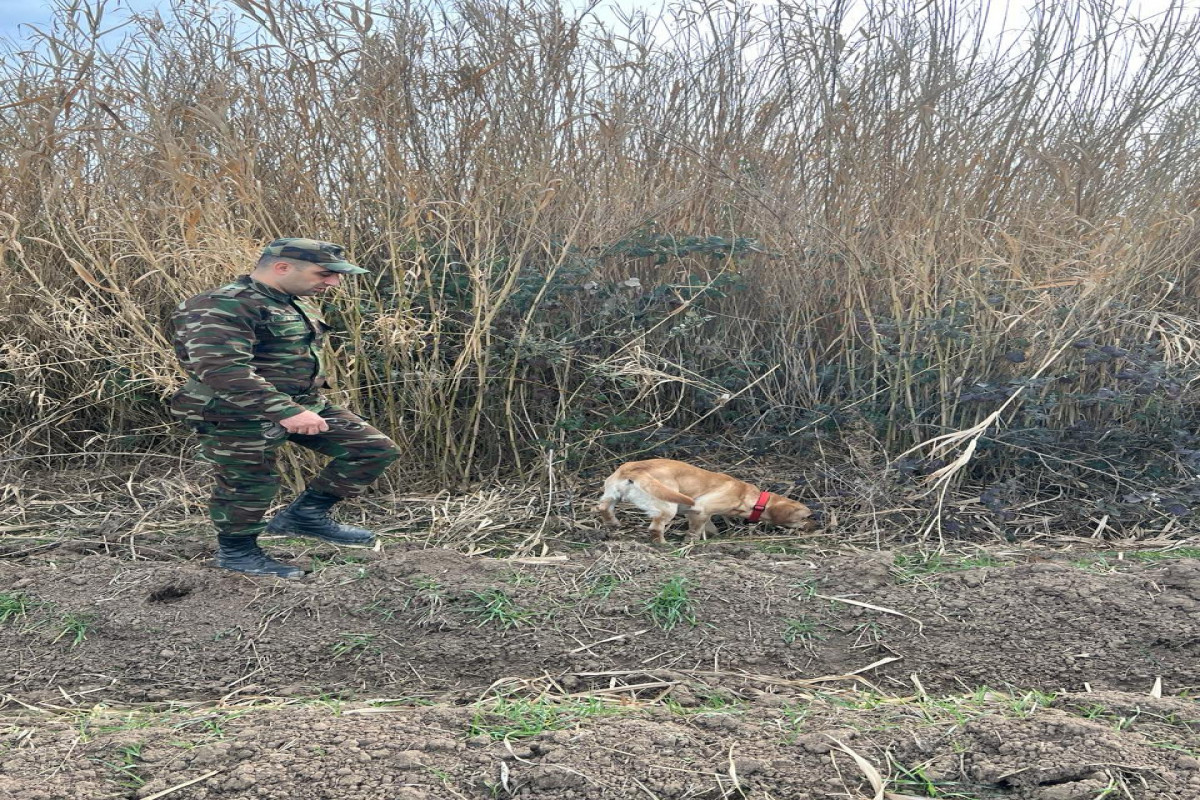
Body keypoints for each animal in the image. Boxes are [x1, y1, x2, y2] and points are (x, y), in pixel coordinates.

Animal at [597, 460, 820, 546]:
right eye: (807, 517)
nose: (816, 525)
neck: (752, 498)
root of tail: (633, 469)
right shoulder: (701, 509)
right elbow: (695, 532)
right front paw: (690, 542)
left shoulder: (702, 513)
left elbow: (710, 528)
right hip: (668, 506)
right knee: (655, 528)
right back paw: (663, 544)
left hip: (611, 496)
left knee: (603, 508)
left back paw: (613, 524)